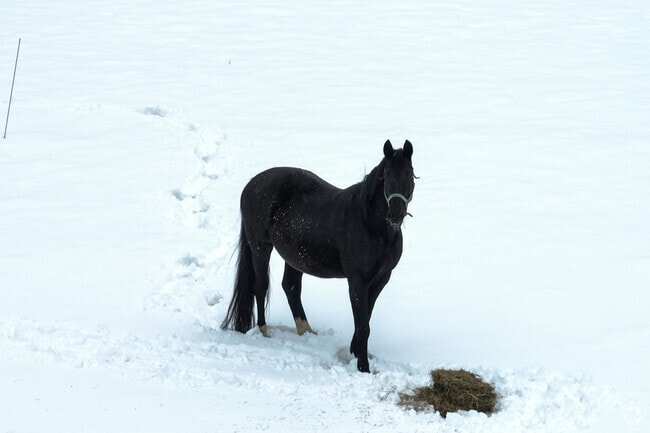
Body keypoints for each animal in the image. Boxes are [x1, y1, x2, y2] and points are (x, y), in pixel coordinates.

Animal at [221, 139, 415, 372]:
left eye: (409, 174)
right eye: (386, 175)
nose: (395, 213)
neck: (371, 224)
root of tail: (251, 185)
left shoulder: (381, 279)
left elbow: (365, 318)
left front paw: (354, 352)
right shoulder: (357, 280)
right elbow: (362, 325)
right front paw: (363, 367)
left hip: (293, 256)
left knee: (291, 287)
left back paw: (307, 332)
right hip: (260, 247)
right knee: (260, 287)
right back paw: (264, 333)